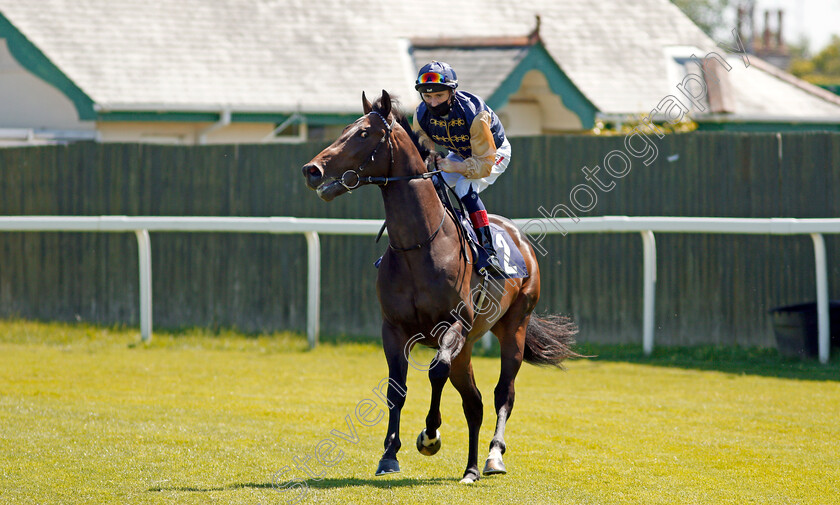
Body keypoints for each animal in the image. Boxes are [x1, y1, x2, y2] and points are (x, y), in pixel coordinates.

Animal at [300, 89, 576, 480]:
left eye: (364, 134)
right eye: (344, 130)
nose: (313, 170)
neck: (419, 245)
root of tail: (520, 239)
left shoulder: (454, 324)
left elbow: (435, 371)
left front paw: (430, 435)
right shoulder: (393, 328)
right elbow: (396, 389)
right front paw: (389, 454)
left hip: (514, 328)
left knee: (502, 393)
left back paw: (493, 457)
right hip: (469, 347)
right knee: (474, 402)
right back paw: (470, 468)